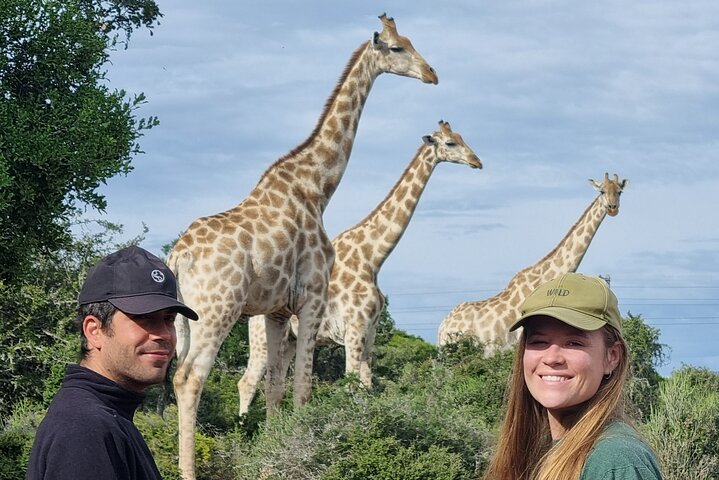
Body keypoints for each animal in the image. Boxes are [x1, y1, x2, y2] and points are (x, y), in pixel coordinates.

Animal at [168, 14, 438, 479]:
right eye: (398, 48)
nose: (431, 74)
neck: (317, 187)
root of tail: (178, 255)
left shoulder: (276, 311)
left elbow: (276, 388)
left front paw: (270, 456)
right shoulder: (311, 296)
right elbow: (304, 388)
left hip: (183, 319)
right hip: (217, 310)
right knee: (191, 378)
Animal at [238, 120, 482, 415]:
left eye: (461, 137)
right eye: (450, 143)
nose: (477, 161)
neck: (372, 258)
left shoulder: (370, 333)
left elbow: (366, 385)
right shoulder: (353, 331)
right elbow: (351, 385)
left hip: (290, 340)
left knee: (277, 381)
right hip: (261, 337)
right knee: (248, 381)